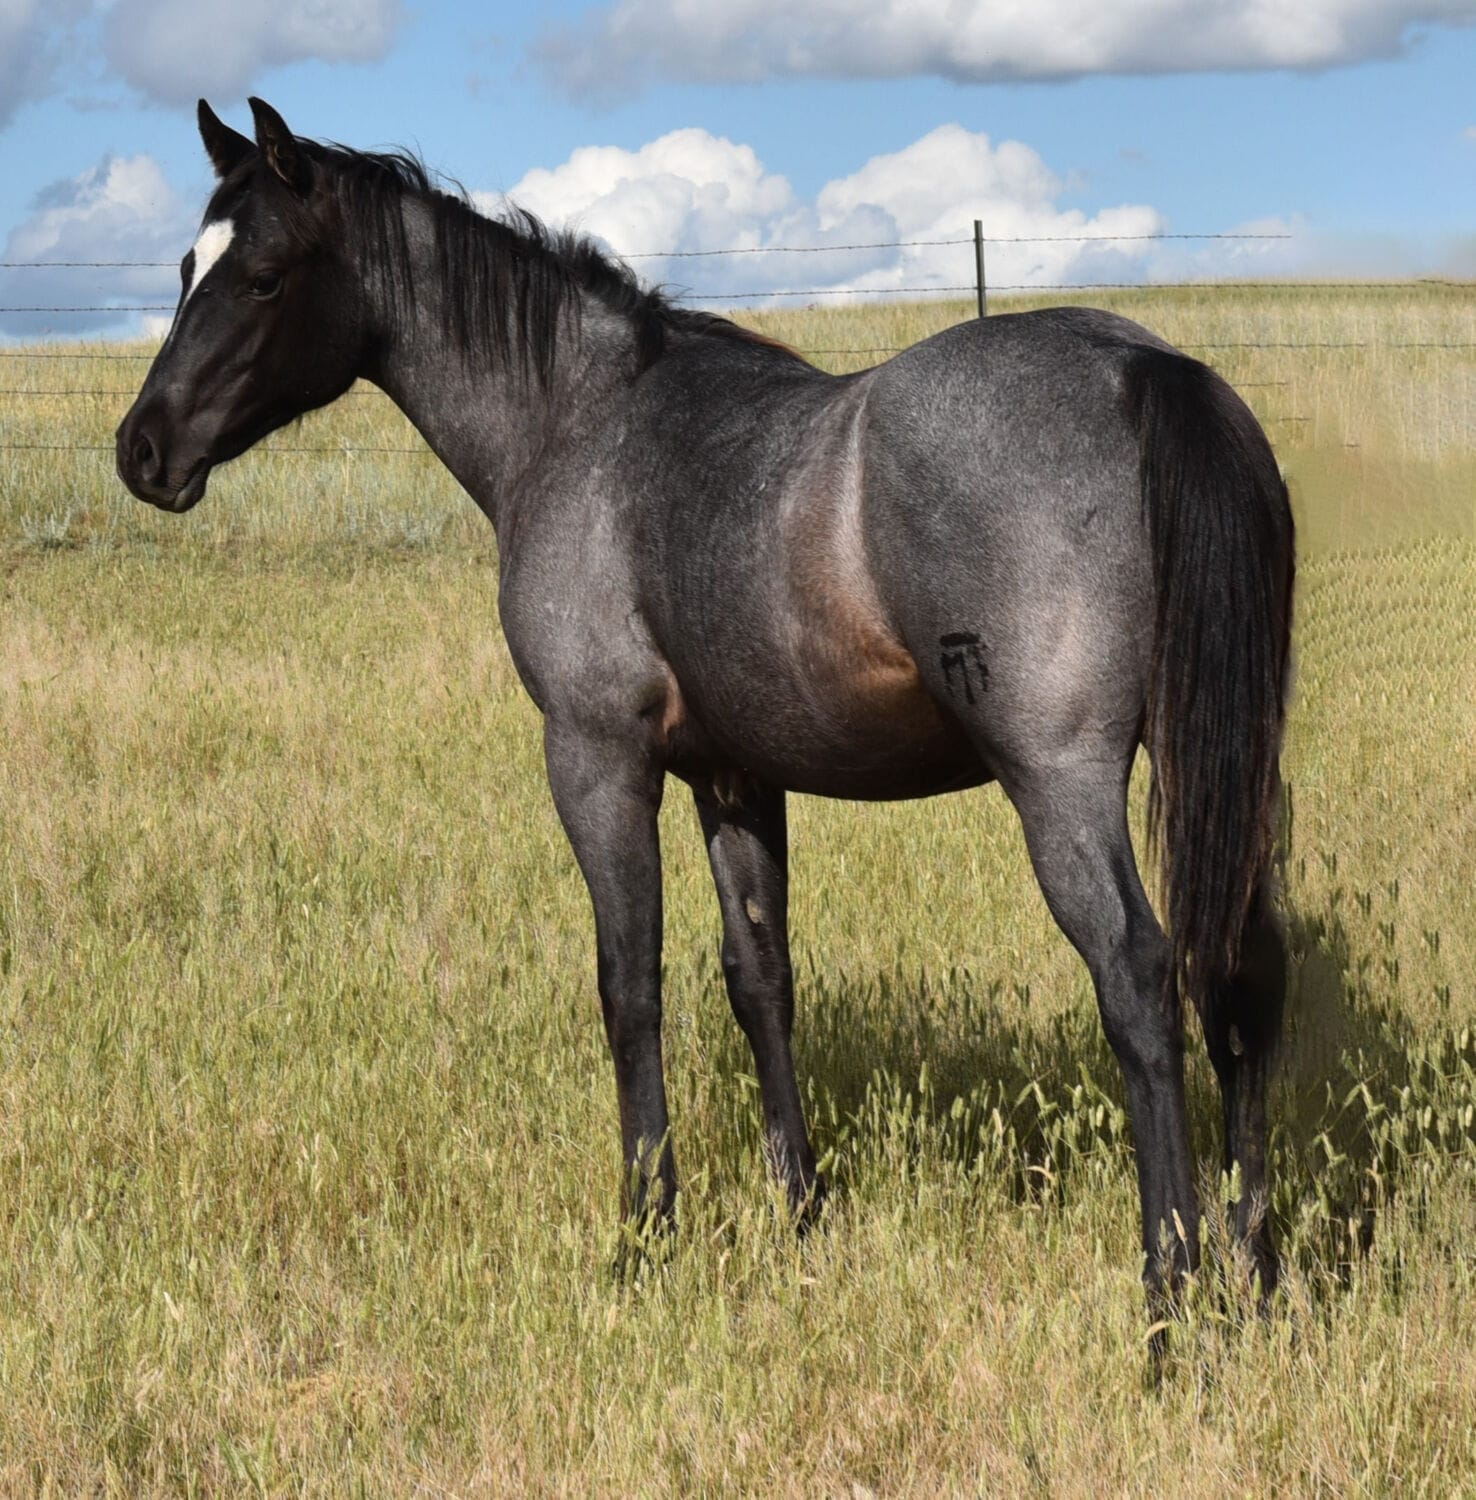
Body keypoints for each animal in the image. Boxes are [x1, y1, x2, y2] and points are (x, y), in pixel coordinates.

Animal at [117, 98, 1295, 1306]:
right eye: (186, 266)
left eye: (262, 277)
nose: (142, 448)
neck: (579, 426)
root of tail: (1142, 368)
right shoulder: (736, 777)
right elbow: (759, 979)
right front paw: (802, 1211)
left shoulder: (597, 758)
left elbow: (629, 985)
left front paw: (646, 1231)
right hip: (1230, 764)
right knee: (1247, 966)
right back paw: (1251, 1262)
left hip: (1061, 780)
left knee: (1141, 978)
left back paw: (1171, 1287)